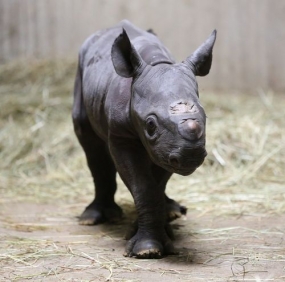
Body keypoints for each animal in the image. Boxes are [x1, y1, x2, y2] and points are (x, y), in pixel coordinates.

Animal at [71, 19, 215, 258]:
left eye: (206, 118)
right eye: (150, 124)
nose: (191, 155)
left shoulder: (167, 148)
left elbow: (155, 184)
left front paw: (158, 233)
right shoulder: (122, 137)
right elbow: (143, 187)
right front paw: (147, 250)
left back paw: (172, 213)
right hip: (80, 72)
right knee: (91, 146)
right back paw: (91, 219)